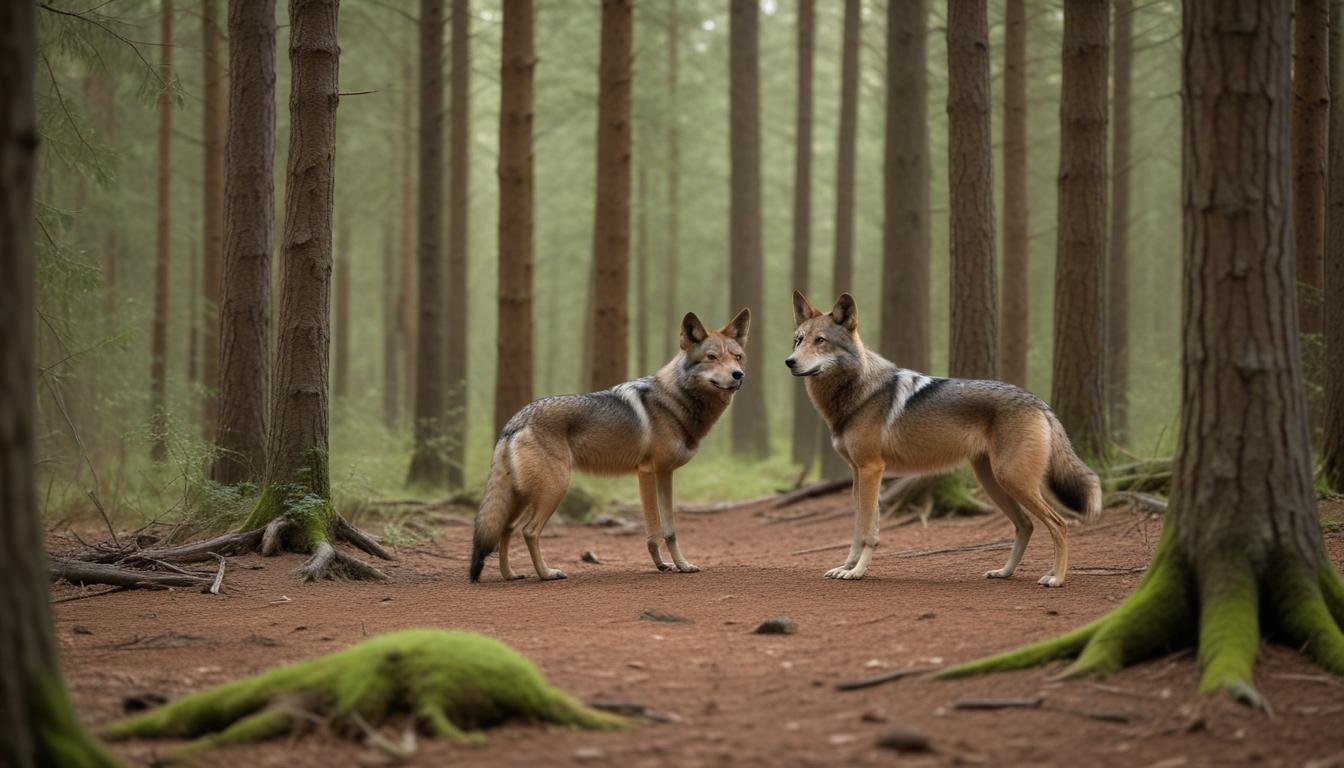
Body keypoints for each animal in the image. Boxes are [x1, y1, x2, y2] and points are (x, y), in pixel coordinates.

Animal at [469, 309, 751, 582]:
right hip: (554, 490)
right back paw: (547, 574)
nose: (739, 375)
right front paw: (669, 565)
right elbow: (657, 530)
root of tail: (515, 421)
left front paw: (675, 565)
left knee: (505, 529)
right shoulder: (650, 472)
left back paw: (510, 574)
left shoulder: (664, 473)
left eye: (737, 357)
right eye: (712, 357)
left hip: (522, 496)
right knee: (528, 531)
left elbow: (668, 530)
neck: (675, 400)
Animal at [786, 291, 1101, 587]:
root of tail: (1040, 402)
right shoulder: (858, 472)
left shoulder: (872, 470)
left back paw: (1056, 578)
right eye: (798, 341)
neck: (856, 394)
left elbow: (867, 532)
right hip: (995, 483)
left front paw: (857, 572)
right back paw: (1004, 572)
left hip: (1013, 481)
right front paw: (847, 567)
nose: (789, 362)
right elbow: (859, 527)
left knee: (1059, 524)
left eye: (821, 340)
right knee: (1026, 525)